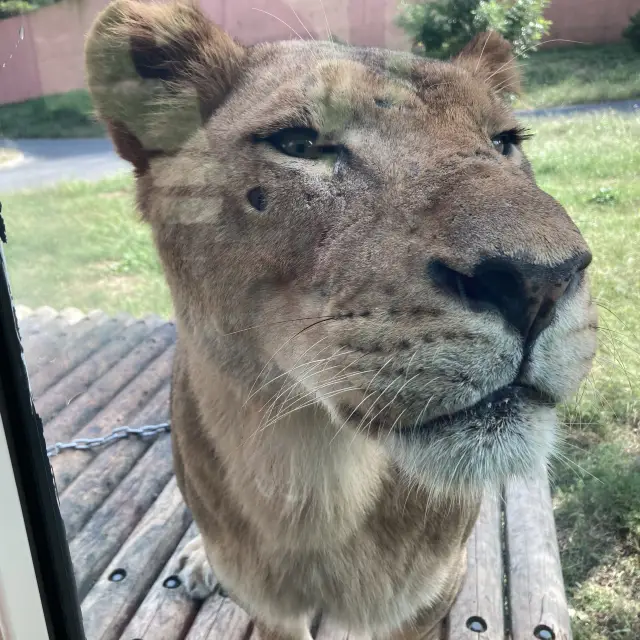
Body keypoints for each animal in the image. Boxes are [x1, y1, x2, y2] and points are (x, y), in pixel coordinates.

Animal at [84, 2, 596, 636]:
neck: (316, 481)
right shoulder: (271, 609)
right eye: (300, 143)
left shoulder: (429, 597)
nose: (543, 282)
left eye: (504, 141)